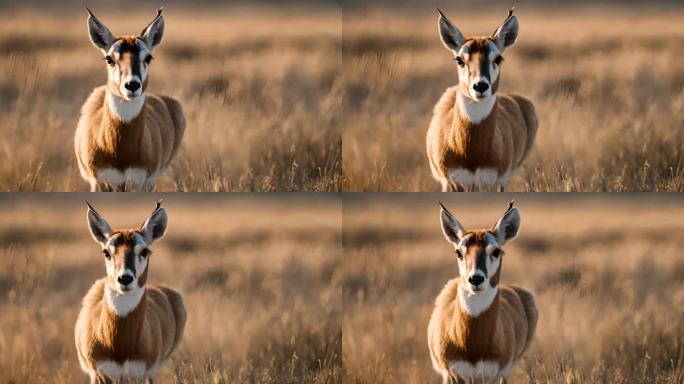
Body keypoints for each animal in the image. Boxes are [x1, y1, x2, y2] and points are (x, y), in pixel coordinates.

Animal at [75, 9, 184, 192]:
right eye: (109, 59)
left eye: (148, 57)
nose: (132, 85)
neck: (121, 151)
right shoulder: (99, 183)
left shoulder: (142, 183)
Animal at [75, 200, 184, 382]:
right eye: (106, 252)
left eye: (145, 251)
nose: (125, 279)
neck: (120, 345)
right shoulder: (101, 375)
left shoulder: (138, 375)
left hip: (151, 373)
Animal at [424, 9, 536, 192]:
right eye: (459, 59)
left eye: (498, 58)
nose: (481, 86)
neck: (471, 153)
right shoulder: (451, 183)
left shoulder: (491, 183)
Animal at [430, 202, 536, 382]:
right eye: (458, 252)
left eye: (496, 251)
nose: (476, 279)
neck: (472, 345)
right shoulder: (452, 376)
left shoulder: (494, 376)